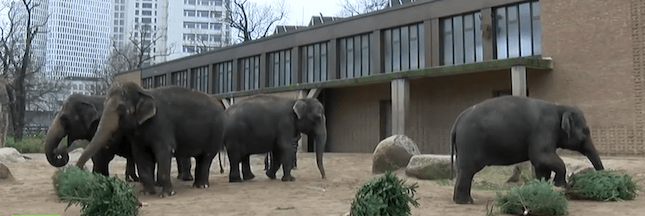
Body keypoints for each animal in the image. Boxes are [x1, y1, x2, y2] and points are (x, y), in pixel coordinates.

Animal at [44, 94, 195, 182]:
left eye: (64, 119)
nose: (61, 150)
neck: (90, 98)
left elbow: (103, 155)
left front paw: (99, 180)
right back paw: (135, 179)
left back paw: (185, 178)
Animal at [75, 81, 225, 197]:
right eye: (104, 104)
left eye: (121, 108)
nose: (78, 173)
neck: (144, 92)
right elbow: (141, 156)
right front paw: (146, 193)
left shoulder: (162, 125)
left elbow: (164, 152)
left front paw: (167, 194)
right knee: (201, 158)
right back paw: (197, 185)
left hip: (216, 133)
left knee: (206, 157)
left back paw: (202, 186)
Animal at [448, 96, 604, 204]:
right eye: (586, 131)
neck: (558, 106)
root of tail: (456, 123)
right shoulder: (546, 128)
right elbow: (541, 156)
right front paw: (560, 185)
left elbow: (542, 165)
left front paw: (543, 188)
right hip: (470, 141)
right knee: (468, 170)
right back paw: (466, 202)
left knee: (463, 170)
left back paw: (462, 200)